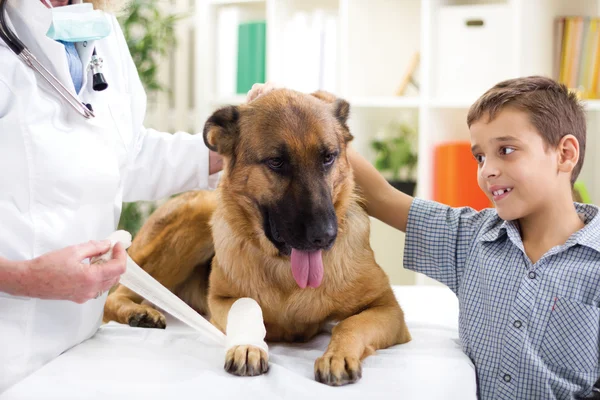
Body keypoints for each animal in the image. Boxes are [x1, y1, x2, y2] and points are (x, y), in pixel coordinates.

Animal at [104, 89, 412, 386]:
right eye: (276, 162)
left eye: (328, 157)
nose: (325, 236)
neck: (285, 271)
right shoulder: (221, 300)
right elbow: (248, 307)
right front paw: (247, 345)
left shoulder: (388, 309)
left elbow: (349, 325)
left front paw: (338, 356)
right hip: (194, 219)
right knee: (115, 295)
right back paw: (138, 312)